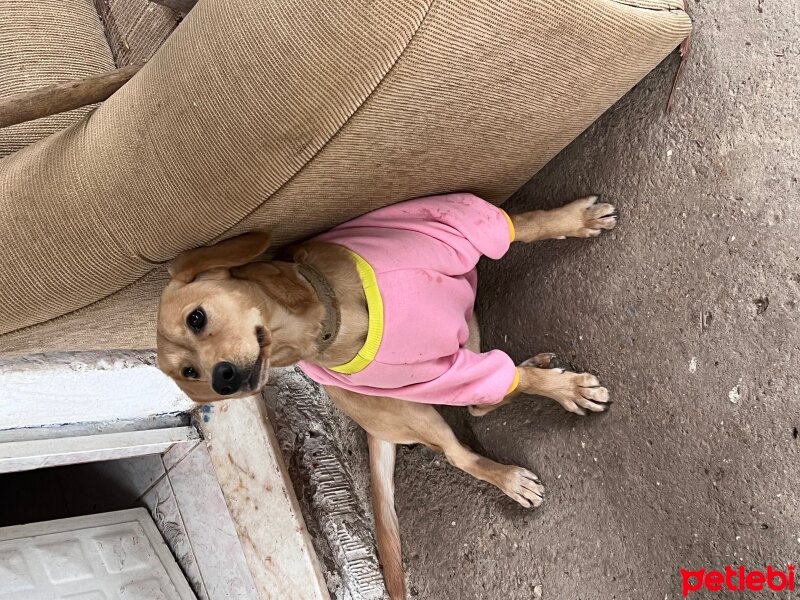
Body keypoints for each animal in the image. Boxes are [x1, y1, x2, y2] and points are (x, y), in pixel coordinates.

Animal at [158, 195, 620, 596]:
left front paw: (571, 220)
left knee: (483, 399)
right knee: (466, 436)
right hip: (420, 410)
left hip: (466, 337)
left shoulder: (444, 227)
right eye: (189, 373)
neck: (330, 316)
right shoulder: (441, 374)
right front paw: (567, 390)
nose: (223, 381)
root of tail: (372, 428)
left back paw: (531, 365)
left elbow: (520, 226)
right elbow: (515, 384)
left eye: (196, 318)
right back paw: (510, 475)